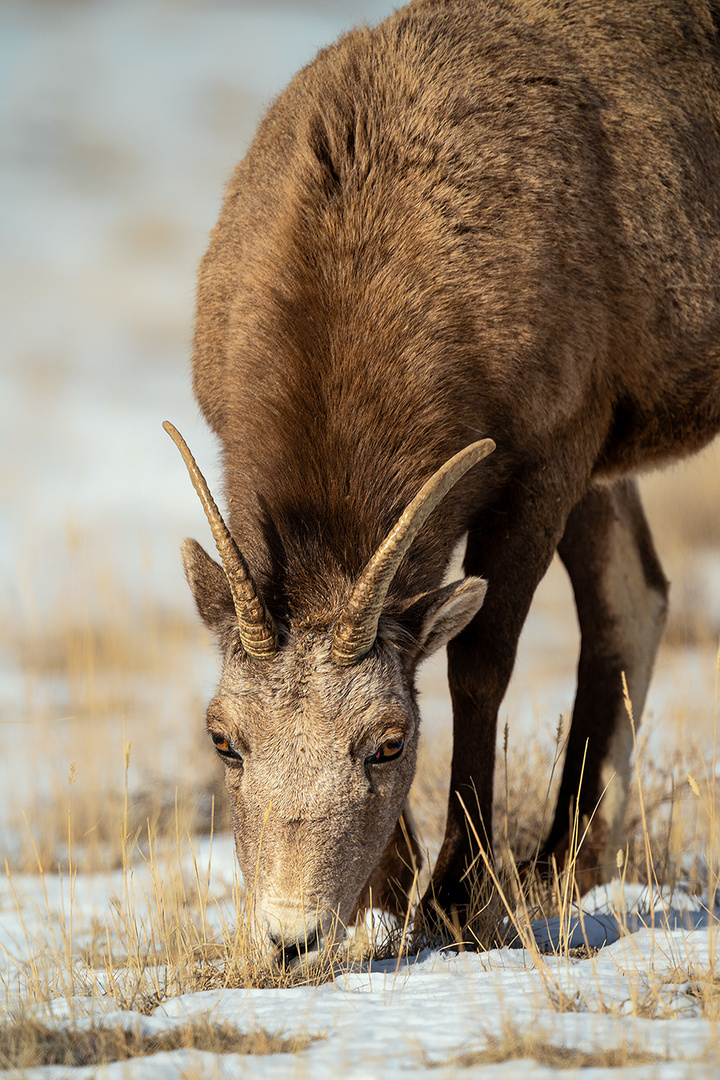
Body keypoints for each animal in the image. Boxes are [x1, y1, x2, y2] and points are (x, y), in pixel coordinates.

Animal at [166, 0, 720, 963]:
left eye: (388, 744)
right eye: (224, 740)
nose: (293, 936)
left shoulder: (546, 463)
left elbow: (479, 667)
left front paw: (456, 899)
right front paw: (392, 894)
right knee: (637, 596)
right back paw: (561, 867)